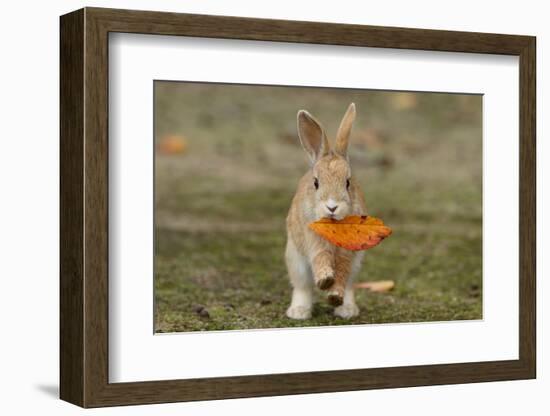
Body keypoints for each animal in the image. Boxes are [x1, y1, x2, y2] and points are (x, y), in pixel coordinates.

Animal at [286, 102, 368, 320]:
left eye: (348, 182)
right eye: (316, 183)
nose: (332, 206)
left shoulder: (348, 254)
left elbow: (341, 273)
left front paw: (334, 295)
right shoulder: (313, 241)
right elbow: (320, 258)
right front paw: (324, 280)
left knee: (349, 286)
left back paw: (347, 310)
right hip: (296, 260)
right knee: (303, 287)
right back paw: (298, 312)